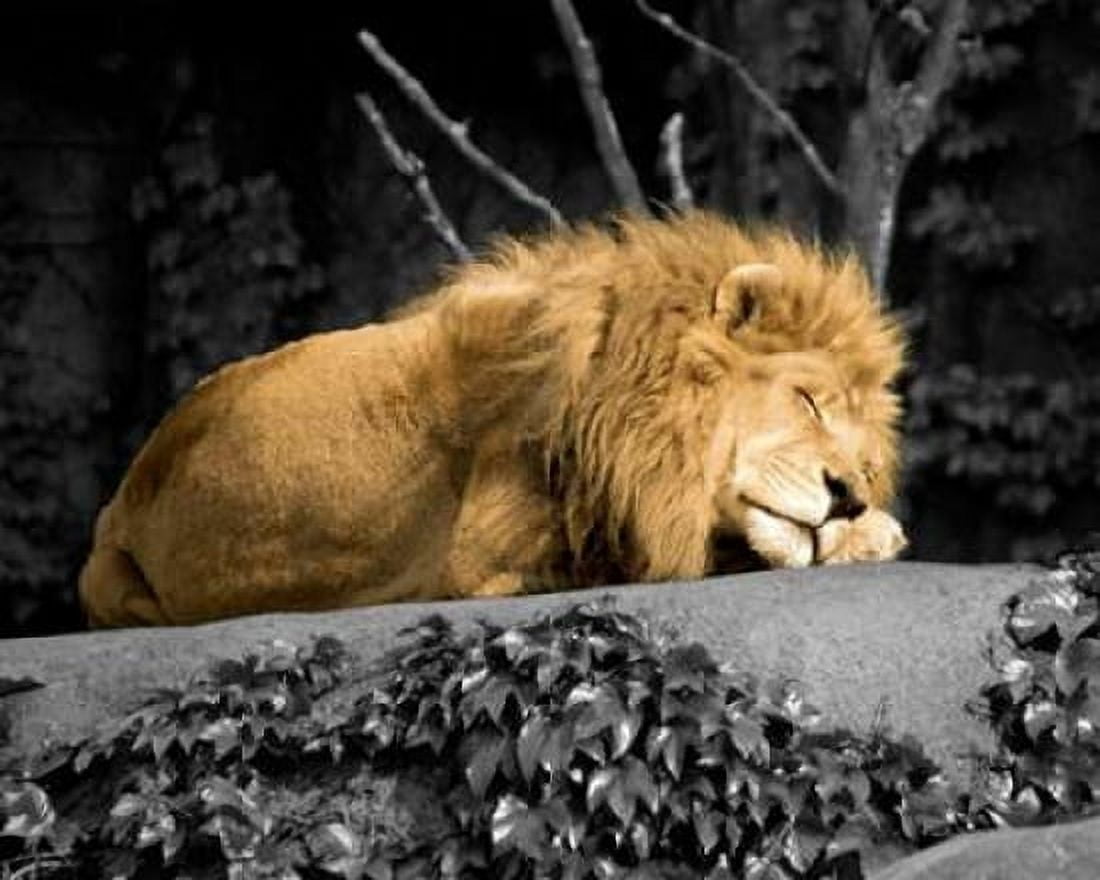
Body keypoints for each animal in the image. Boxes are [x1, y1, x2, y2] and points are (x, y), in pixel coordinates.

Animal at [79, 211, 907, 628]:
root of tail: (116, 512)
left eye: (866, 462)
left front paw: (872, 528)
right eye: (806, 399)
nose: (847, 496)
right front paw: (876, 534)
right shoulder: (511, 554)